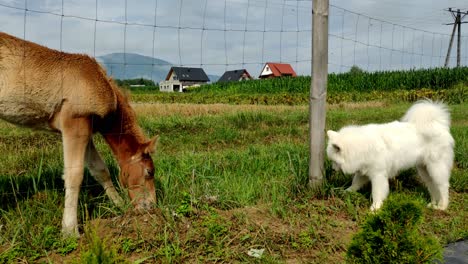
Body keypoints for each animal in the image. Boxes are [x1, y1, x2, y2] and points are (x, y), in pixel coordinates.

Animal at [0, 32, 157, 236]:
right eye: (149, 172)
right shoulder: (75, 122)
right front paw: (70, 230)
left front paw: (119, 204)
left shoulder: (86, 130)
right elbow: (75, 174)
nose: (151, 207)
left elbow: (100, 170)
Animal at [326, 100, 454, 211]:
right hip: (424, 169)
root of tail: (439, 125)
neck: (362, 146)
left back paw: (442, 206)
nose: (332, 169)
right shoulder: (364, 171)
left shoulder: (378, 175)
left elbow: (377, 193)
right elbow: (355, 183)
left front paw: (375, 208)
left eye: (334, 161)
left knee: (443, 186)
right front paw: (345, 192)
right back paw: (433, 203)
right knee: (432, 186)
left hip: (436, 167)